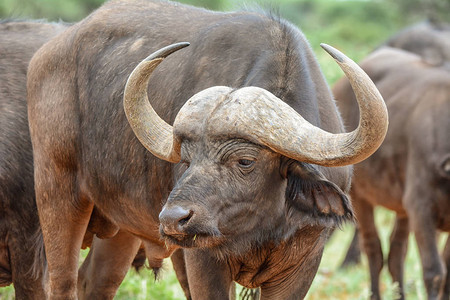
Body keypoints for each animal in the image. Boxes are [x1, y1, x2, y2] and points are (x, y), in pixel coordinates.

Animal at [26, 1, 388, 298]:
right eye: (186, 160)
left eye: (245, 161)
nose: (173, 219)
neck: (262, 225)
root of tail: (46, 55)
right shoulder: (203, 262)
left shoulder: (303, 263)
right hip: (56, 190)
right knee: (61, 281)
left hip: (122, 225)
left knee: (95, 281)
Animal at [334, 47, 450, 300]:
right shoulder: (421, 208)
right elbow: (434, 271)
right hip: (361, 196)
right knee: (373, 249)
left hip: (401, 208)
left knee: (396, 254)